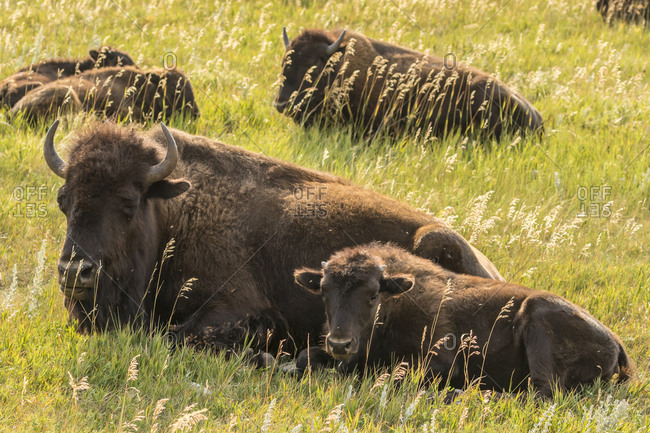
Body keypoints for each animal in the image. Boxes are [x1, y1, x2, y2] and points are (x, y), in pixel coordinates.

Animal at [43, 120, 503, 357]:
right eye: (64, 201)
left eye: (128, 202)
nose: (75, 273)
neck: (177, 211)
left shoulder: (237, 309)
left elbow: (176, 334)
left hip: (434, 244)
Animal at [294, 243, 634, 399]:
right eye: (323, 290)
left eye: (373, 294)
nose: (340, 343)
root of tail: (615, 342)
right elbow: (304, 357)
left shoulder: (442, 360)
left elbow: (393, 378)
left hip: (539, 323)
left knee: (540, 393)